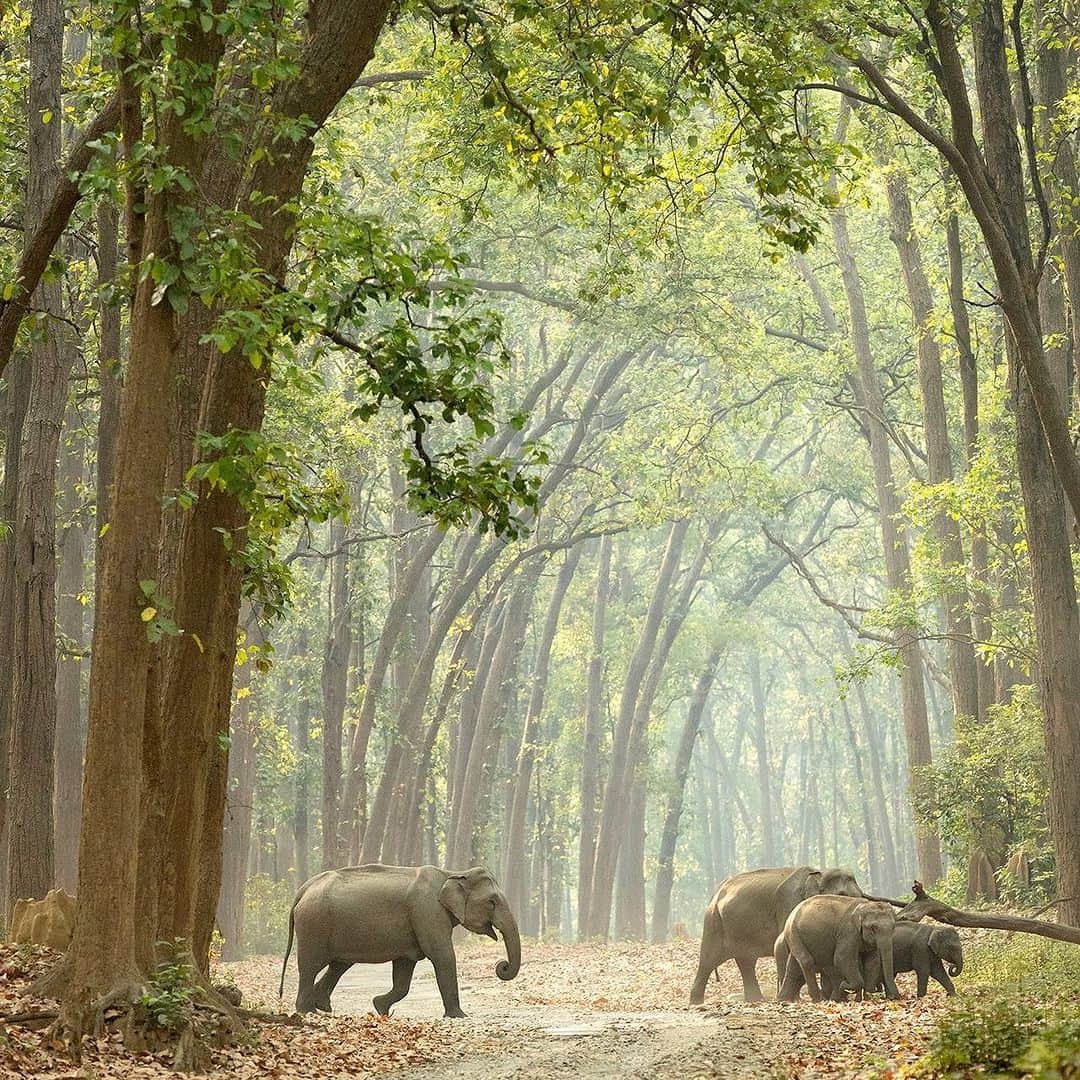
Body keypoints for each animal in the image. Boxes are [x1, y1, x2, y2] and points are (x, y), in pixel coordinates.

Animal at [279, 863, 521, 1018]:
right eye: (492, 901)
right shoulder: (426, 911)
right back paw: (307, 1010)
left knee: (338, 965)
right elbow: (442, 956)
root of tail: (303, 890)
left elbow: (405, 970)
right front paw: (460, 1016)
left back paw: (323, 1006)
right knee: (309, 966)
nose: (502, 965)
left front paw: (380, 1007)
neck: (452, 873)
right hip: (313, 925)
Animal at [689, 865, 864, 1004]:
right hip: (713, 923)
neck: (819, 872)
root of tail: (715, 893)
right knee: (708, 960)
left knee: (746, 961)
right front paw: (798, 999)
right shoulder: (788, 903)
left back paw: (755, 1000)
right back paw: (696, 1003)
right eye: (841, 894)